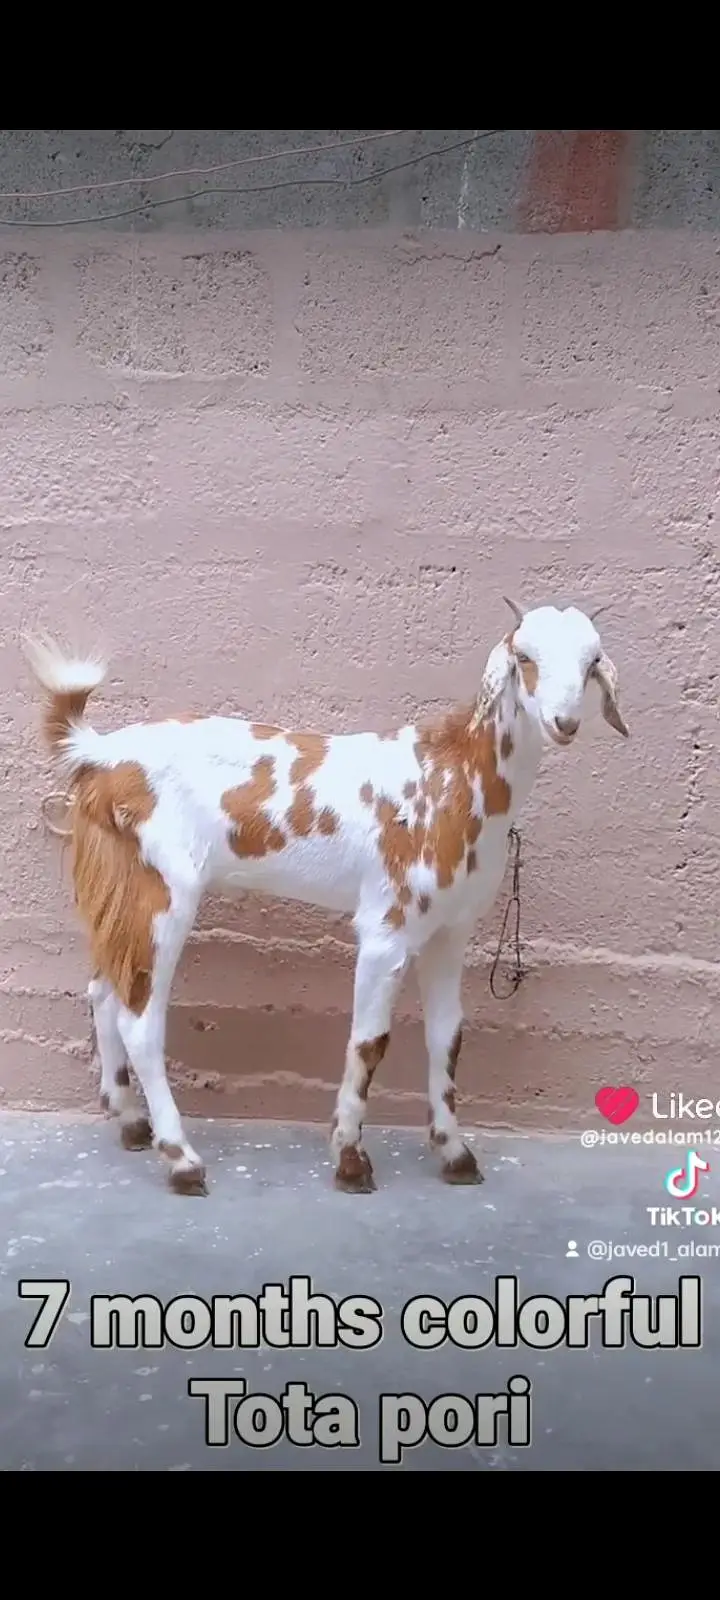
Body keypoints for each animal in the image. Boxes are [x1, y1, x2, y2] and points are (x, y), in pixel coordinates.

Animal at [22, 599, 629, 1198]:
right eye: (524, 658)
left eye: (591, 662)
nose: (565, 722)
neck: (454, 776)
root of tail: (99, 754)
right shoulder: (387, 927)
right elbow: (370, 1042)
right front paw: (351, 1159)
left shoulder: (450, 931)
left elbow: (447, 1037)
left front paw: (454, 1153)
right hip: (163, 889)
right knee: (140, 1020)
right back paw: (182, 1160)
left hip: (122, 889)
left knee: (104, 991)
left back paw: (130, 1122)